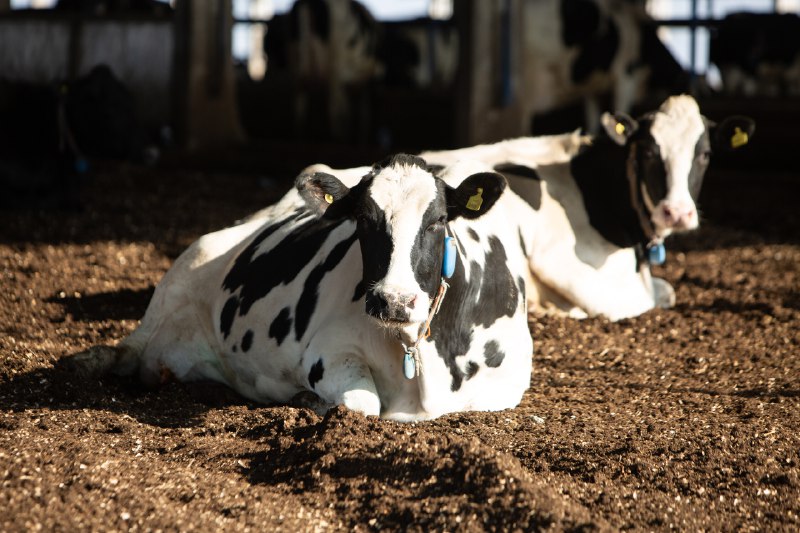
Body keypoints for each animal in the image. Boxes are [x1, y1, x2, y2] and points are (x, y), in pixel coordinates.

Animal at [75, 154, 536, 420]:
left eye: (439, 220)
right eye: (362, 218)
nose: (392, 300)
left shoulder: (506, 384)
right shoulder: (328, 350)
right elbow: (364, 404)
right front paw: (308, 400)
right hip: (184, 269)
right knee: (127, 348)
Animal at [424, 94, 756, 320]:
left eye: (705, 154)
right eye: (648, 152)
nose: (676, 212)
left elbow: (666, 290)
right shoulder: (562, 262)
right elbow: (645, 298)